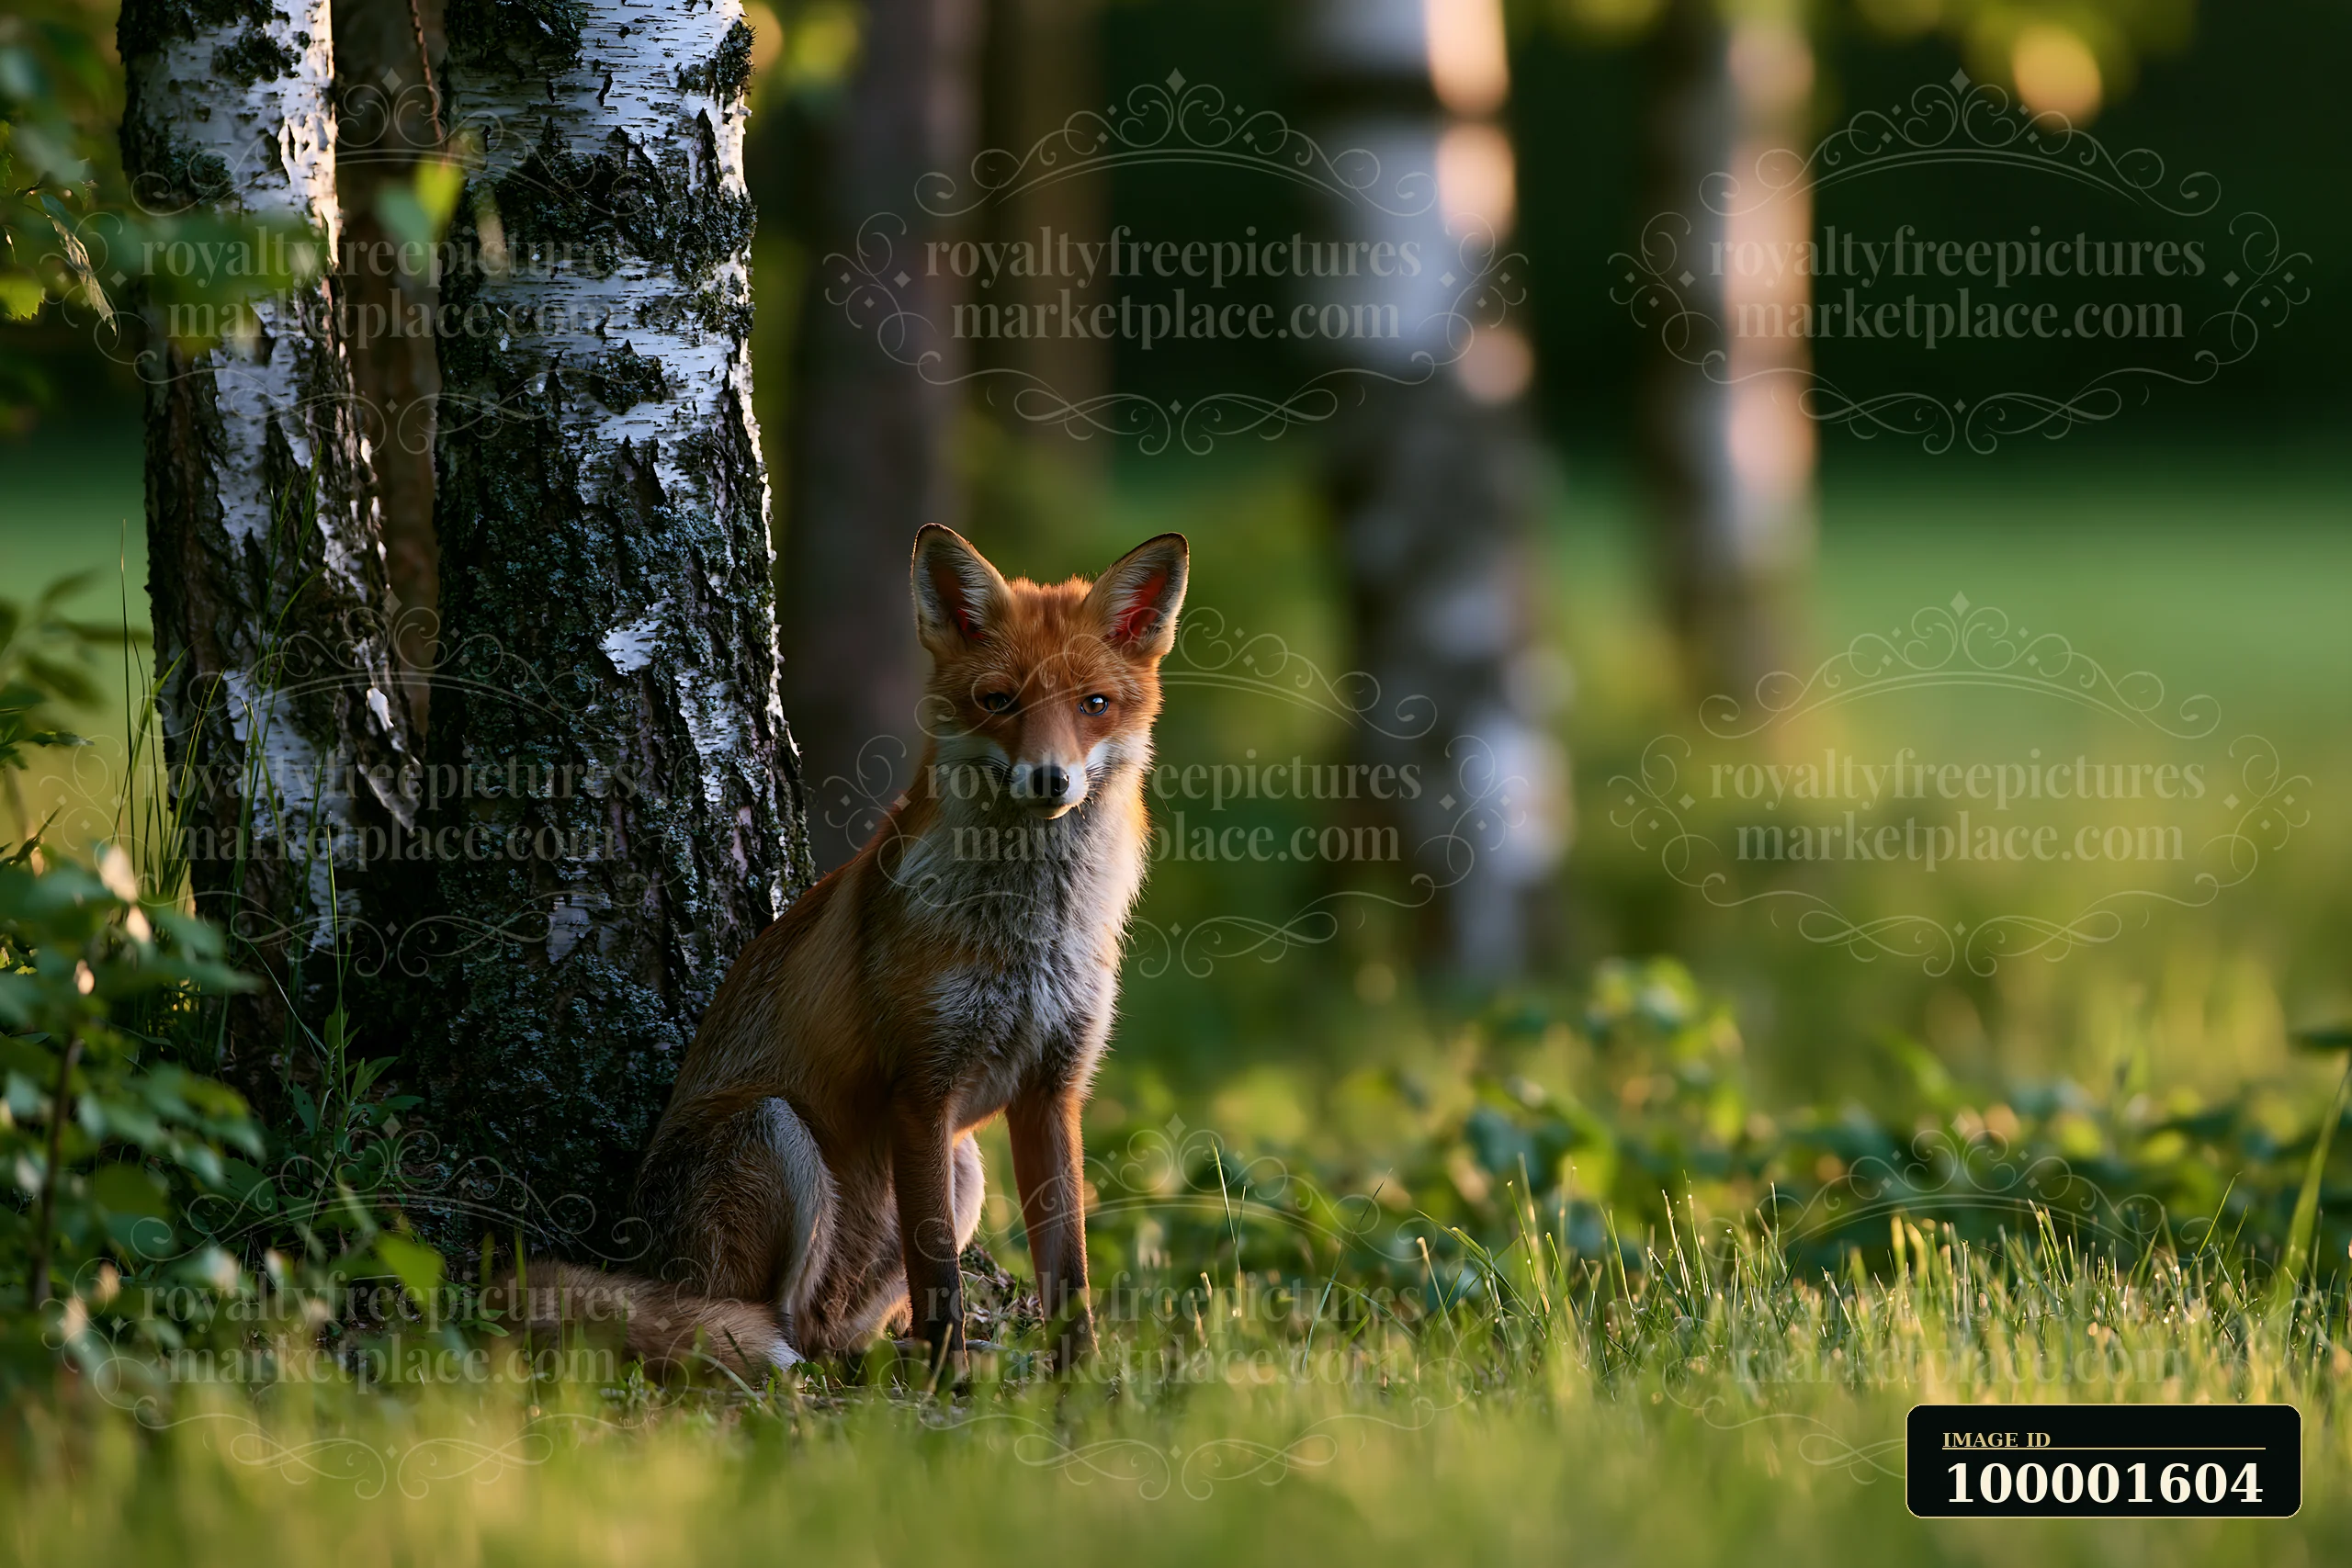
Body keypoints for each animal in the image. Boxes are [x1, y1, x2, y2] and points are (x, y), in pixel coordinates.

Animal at [503, 525, 1188, 1381]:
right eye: (998, 700)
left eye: (1094, 705)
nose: (1049, 778)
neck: (1029, 935)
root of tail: (641, 1251)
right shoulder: (920, 1090)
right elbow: (941, 1275)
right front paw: (952, 1384)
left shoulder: (1051, 1093)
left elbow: (1071, 1275)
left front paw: (1083, 1387)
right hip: (778, 1133)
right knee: (755, 1324)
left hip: (966, 1167)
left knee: (826, 1334)